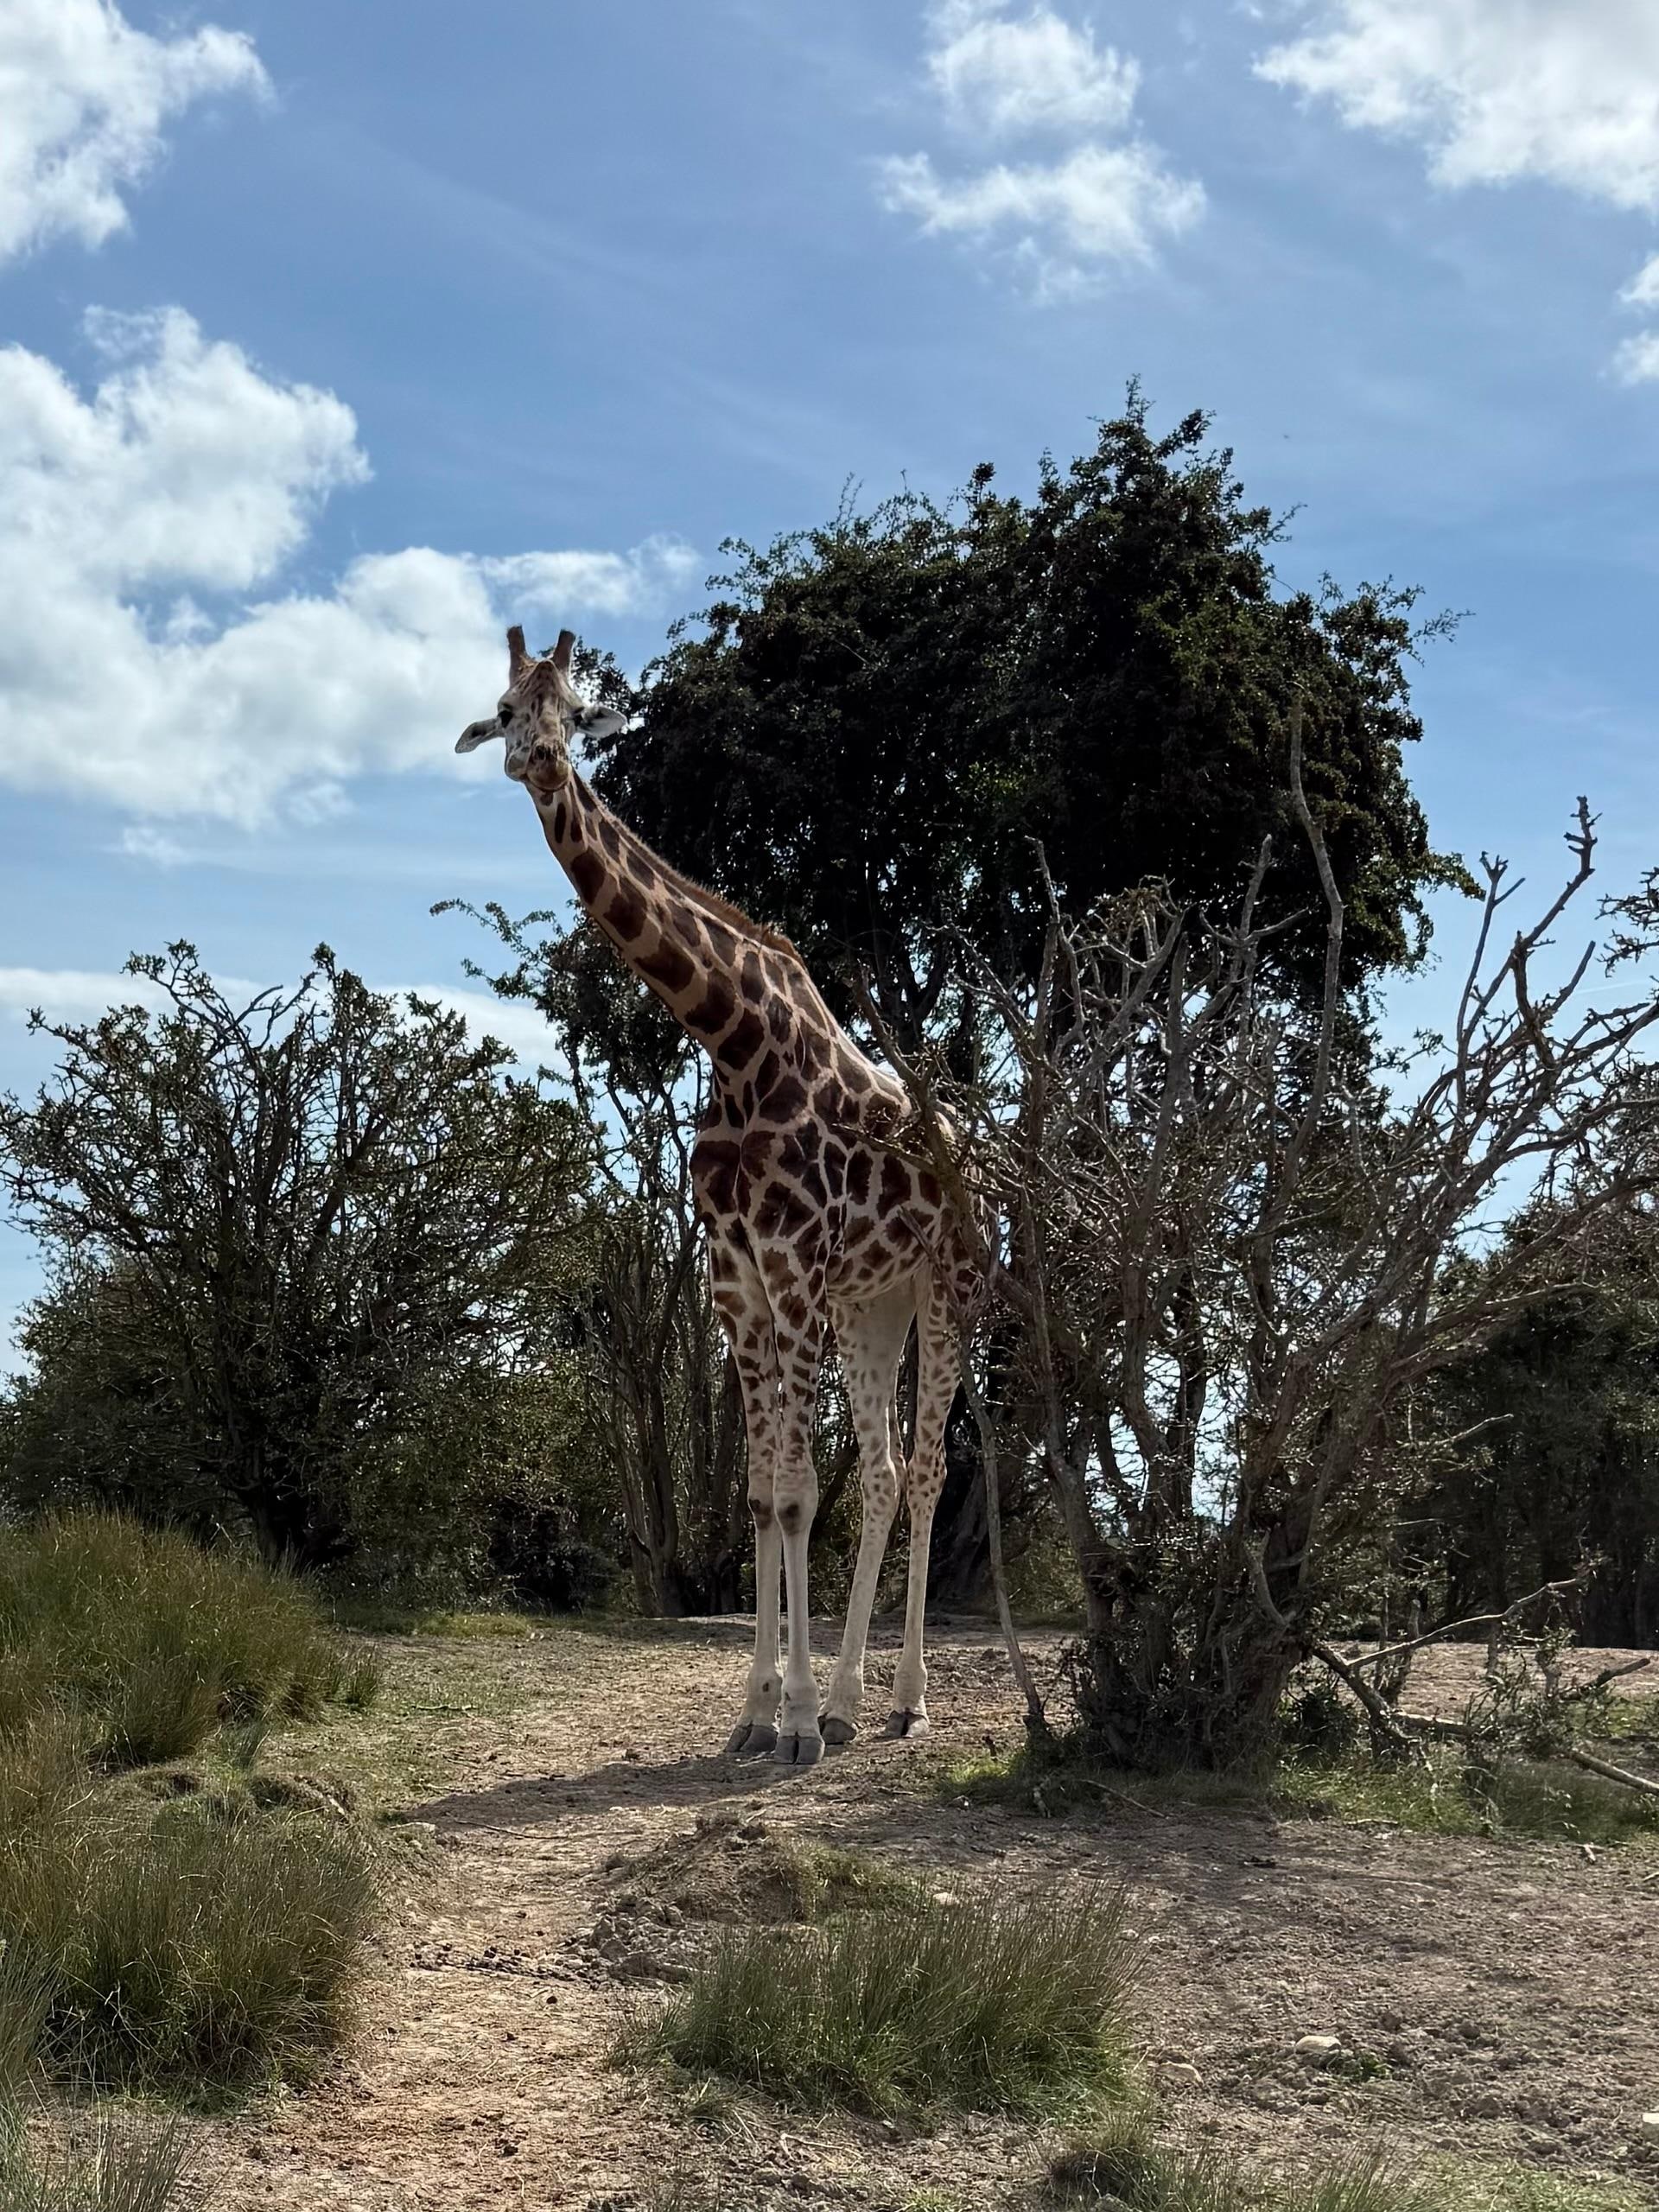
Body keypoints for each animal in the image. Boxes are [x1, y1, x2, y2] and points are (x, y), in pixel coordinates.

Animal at [458, 626, 980, 1766]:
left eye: (579, 711)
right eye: (506, 710)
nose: (538, 761)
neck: (730, 1037)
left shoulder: (791, 1272)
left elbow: (795, 1497)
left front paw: (795, 1725)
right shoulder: (736, 1278)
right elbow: (760, 1495)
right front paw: (761, 1713)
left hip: (948, 1285)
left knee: (926, 1469)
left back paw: (905, 1701)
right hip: (871, 1301)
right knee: (881, 1473)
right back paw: (852, 1696)